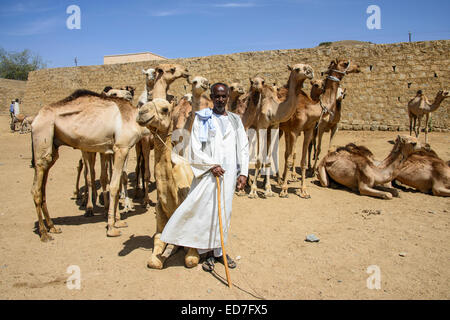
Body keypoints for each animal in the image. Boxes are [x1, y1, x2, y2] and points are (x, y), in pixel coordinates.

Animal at [30, 89, 153, 240]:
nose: (129, 95)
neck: (133, 118)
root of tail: (35, 119)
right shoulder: (121, 148)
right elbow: (114, 186)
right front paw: (111, 228)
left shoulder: (117, 150)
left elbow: (117, 185)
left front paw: (118, 221)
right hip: (42, 136)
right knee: (36, 189)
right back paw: (44, 233)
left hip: (52, 147)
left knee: (43, 188)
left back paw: (52, 227)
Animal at [134, 99, 197, 268]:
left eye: (165, 109)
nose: (141, 112)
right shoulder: (160, 226)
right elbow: (155, 255)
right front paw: (162, 255)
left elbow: (191, 259)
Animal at [280, 58, 360, 198]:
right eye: (345, 63)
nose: (358, 67)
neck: (312, 108)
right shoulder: (296, 130)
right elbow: (293, 156)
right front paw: (284, 190)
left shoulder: (308, 130)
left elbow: (302, 160)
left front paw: (304, 190)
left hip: (285, 130)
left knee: (285, 153)